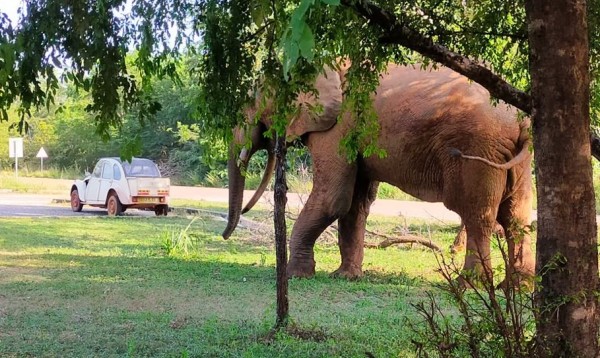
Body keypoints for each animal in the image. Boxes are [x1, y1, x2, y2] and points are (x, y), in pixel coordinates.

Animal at [223, 62, 532, 286]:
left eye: (251, 102)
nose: (226, 236)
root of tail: (521, 121)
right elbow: (354, 204)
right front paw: (345, 277)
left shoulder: (338, 127)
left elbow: (332, 199)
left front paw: (294, 275)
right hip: (515, 158)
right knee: (516, 216)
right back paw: (517, 287)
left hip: (478, 148)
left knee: (476, 213)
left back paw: (469, 286)